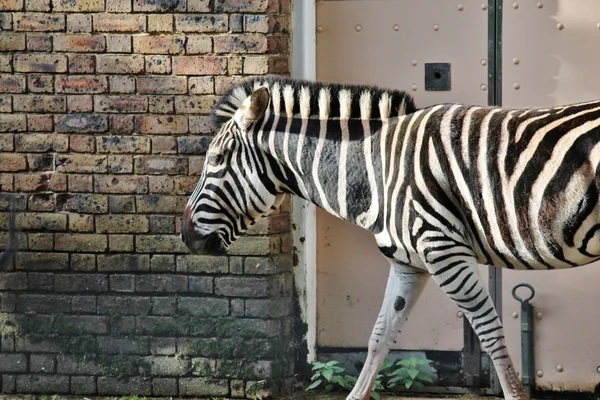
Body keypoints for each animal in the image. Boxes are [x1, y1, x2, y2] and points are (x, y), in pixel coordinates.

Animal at [180, 75, 600, 400]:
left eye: (216, 161)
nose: (186, 236)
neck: (376, 169)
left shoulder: (444, 250)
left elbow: (490, 332)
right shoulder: (408, 263)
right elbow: (380, 335)